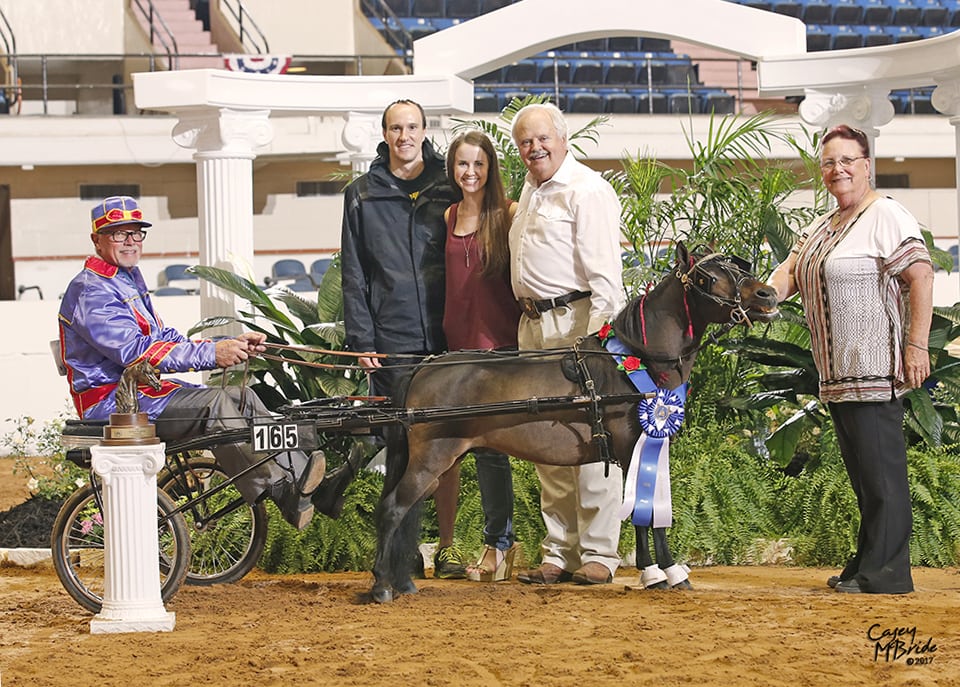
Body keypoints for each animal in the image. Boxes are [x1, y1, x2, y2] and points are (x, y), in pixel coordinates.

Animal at [372, 245, 776, 604]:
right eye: (709, 277)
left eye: (737, 264)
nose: (767, 294)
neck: (636, 363)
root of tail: (425, 367)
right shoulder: (633, 450)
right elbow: (641, 518)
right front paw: (654, 574)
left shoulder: (653, 450)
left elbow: (658, 516)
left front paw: (673, 572)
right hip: (431, 458)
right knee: (392, 509)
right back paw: (381, 587)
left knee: (405, 514)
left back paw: (402, 583)